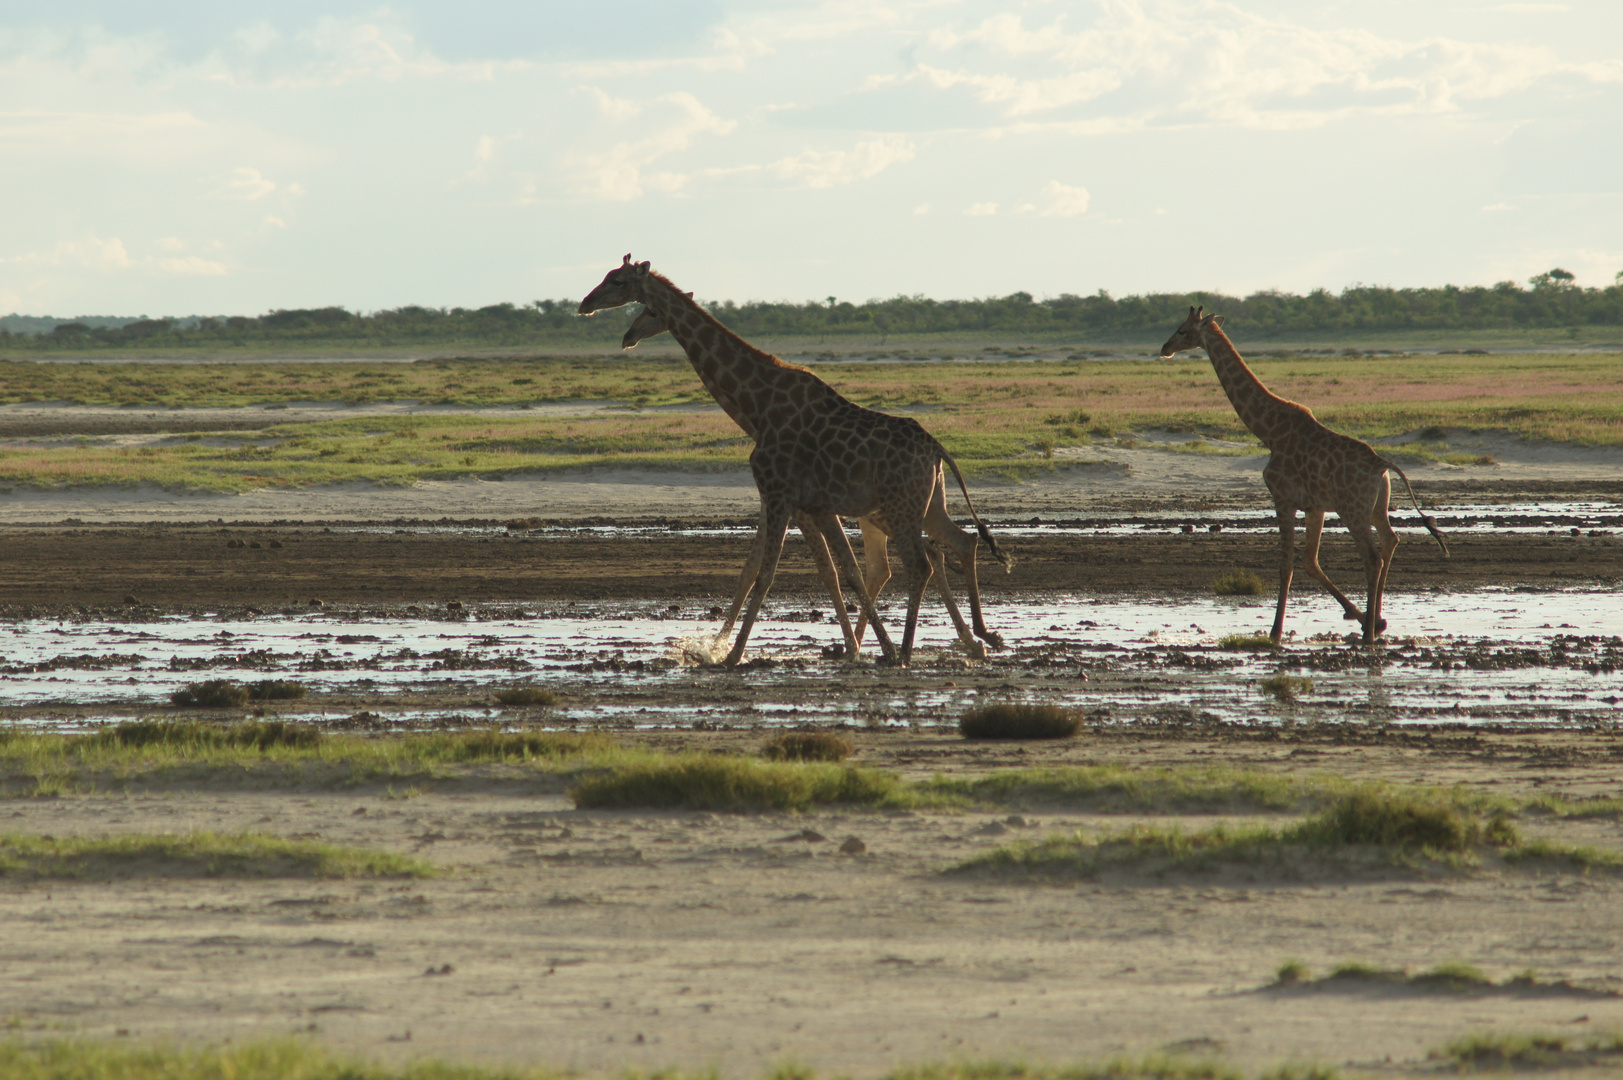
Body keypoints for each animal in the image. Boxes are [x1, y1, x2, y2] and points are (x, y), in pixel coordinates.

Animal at [577, 256, 1006, 669]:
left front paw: (731, 654)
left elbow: (769, 573)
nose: (585, 304)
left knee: (921, 563)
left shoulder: (780, 493)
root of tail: (937, 450)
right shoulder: (799, 502)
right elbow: (812, 570)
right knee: (956, 545)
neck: (758, 407)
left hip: (900, 508)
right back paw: (974, 640)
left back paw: (911, 650)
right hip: (924, 505)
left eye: (618, 281)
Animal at [1155, 303, 1447, 643]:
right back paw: (1376, 621)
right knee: (1390, 541)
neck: (1268, 431)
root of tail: (1382, 466)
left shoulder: (1283, 498)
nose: (1164, 348)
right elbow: (1310, 562)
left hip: (1353, 510)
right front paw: (1359, 616)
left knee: (1372, 557)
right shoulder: (1314, 506)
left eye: (1183, 330)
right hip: (1376, 507)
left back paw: (1369, 635)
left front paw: (1275, 632)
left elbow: (1287, 565)